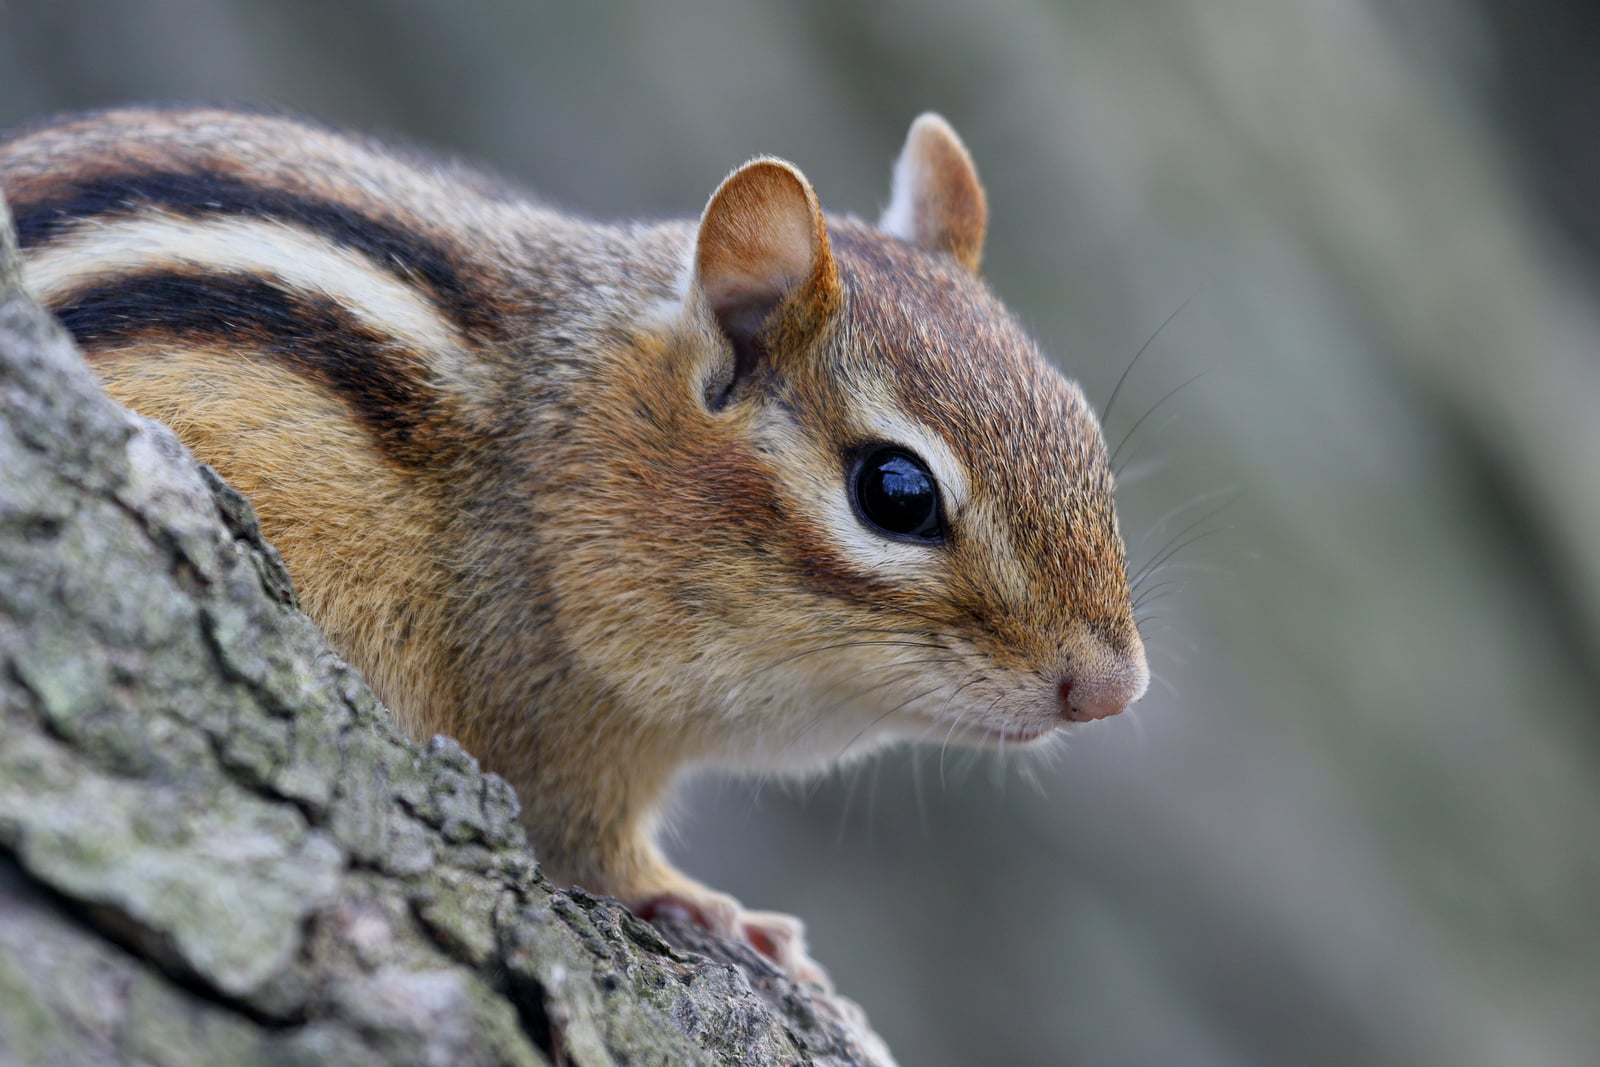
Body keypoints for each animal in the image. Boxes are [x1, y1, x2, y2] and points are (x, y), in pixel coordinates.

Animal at [0, 106, 1149, 985]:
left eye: (1082, 429)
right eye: (895, 492)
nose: (1110, 691)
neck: (560, 431)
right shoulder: (540, 701)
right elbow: (590, 845)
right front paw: (705, 904)